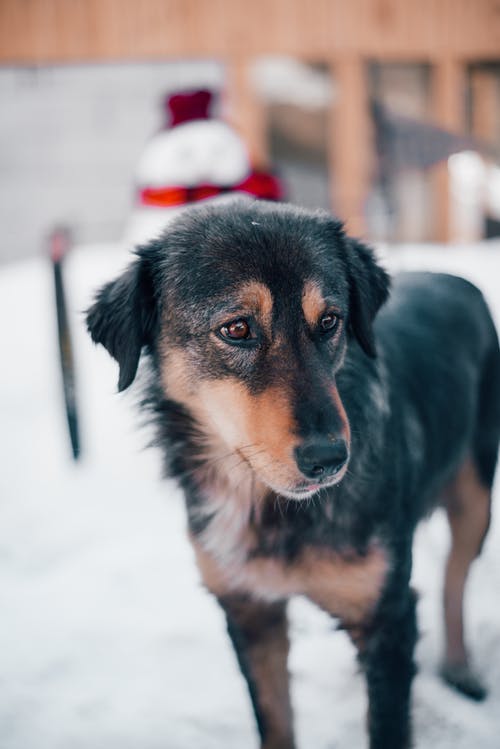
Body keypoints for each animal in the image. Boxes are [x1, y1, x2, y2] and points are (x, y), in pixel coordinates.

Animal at [87, 200, 500, 748]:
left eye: (329, 321)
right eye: (236, 329)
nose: (330, 459)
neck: (267, 506)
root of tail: (454, 278)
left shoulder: (388, 620)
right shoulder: (249, 611)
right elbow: (275, 721)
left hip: (476, 498)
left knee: (456, 575)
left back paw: (459, 665)